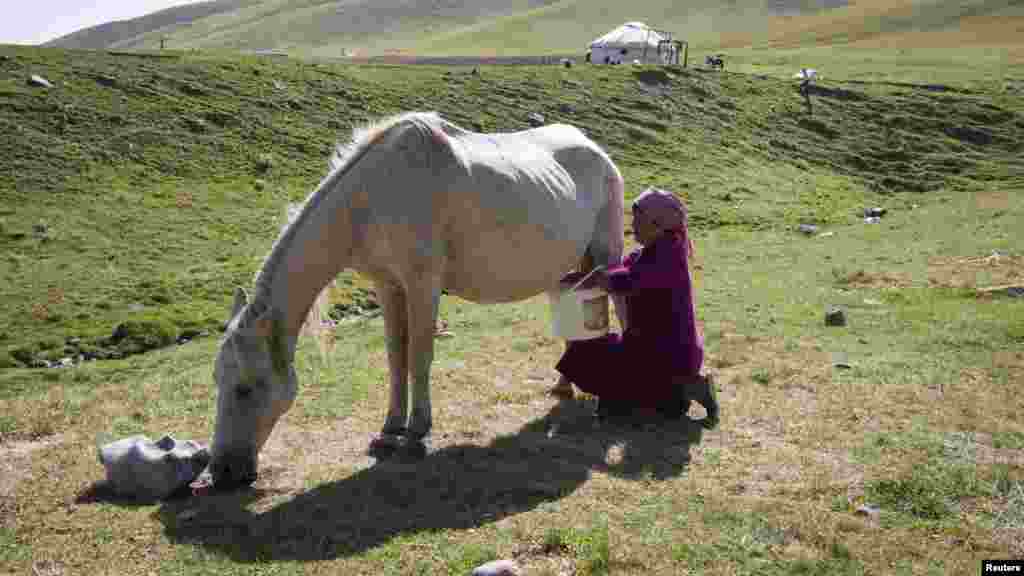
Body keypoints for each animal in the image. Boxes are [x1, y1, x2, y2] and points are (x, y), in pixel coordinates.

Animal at [206, 111, 622, 483]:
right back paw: (564, 385)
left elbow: (419, 355)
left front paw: (417, 432)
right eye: (217, 381)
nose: (222, 472)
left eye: (244, 388)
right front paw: (390, 428)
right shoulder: (388, 286)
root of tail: (596, 150)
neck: (370, 198)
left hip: (607, 254)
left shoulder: (423, 284)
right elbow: (396, 356)